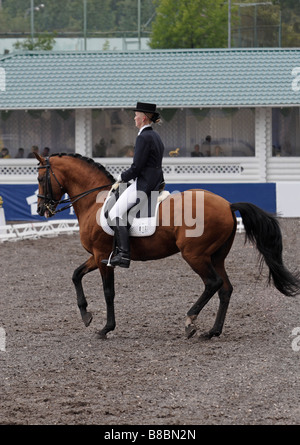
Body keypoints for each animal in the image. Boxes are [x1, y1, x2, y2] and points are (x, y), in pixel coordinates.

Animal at [34, 154, 300, 338]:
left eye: (39, 178)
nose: (40, 209)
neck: (94, 203)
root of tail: (227, 205)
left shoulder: (102, 256)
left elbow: (108, 292)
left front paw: (105, 328)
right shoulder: (98, 256)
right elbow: (75, 274)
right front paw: (86, 315)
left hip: (195, 254)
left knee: (212, 283)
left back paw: (190, 322)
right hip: (216, 256)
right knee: (225, 289)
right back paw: (212, 331)